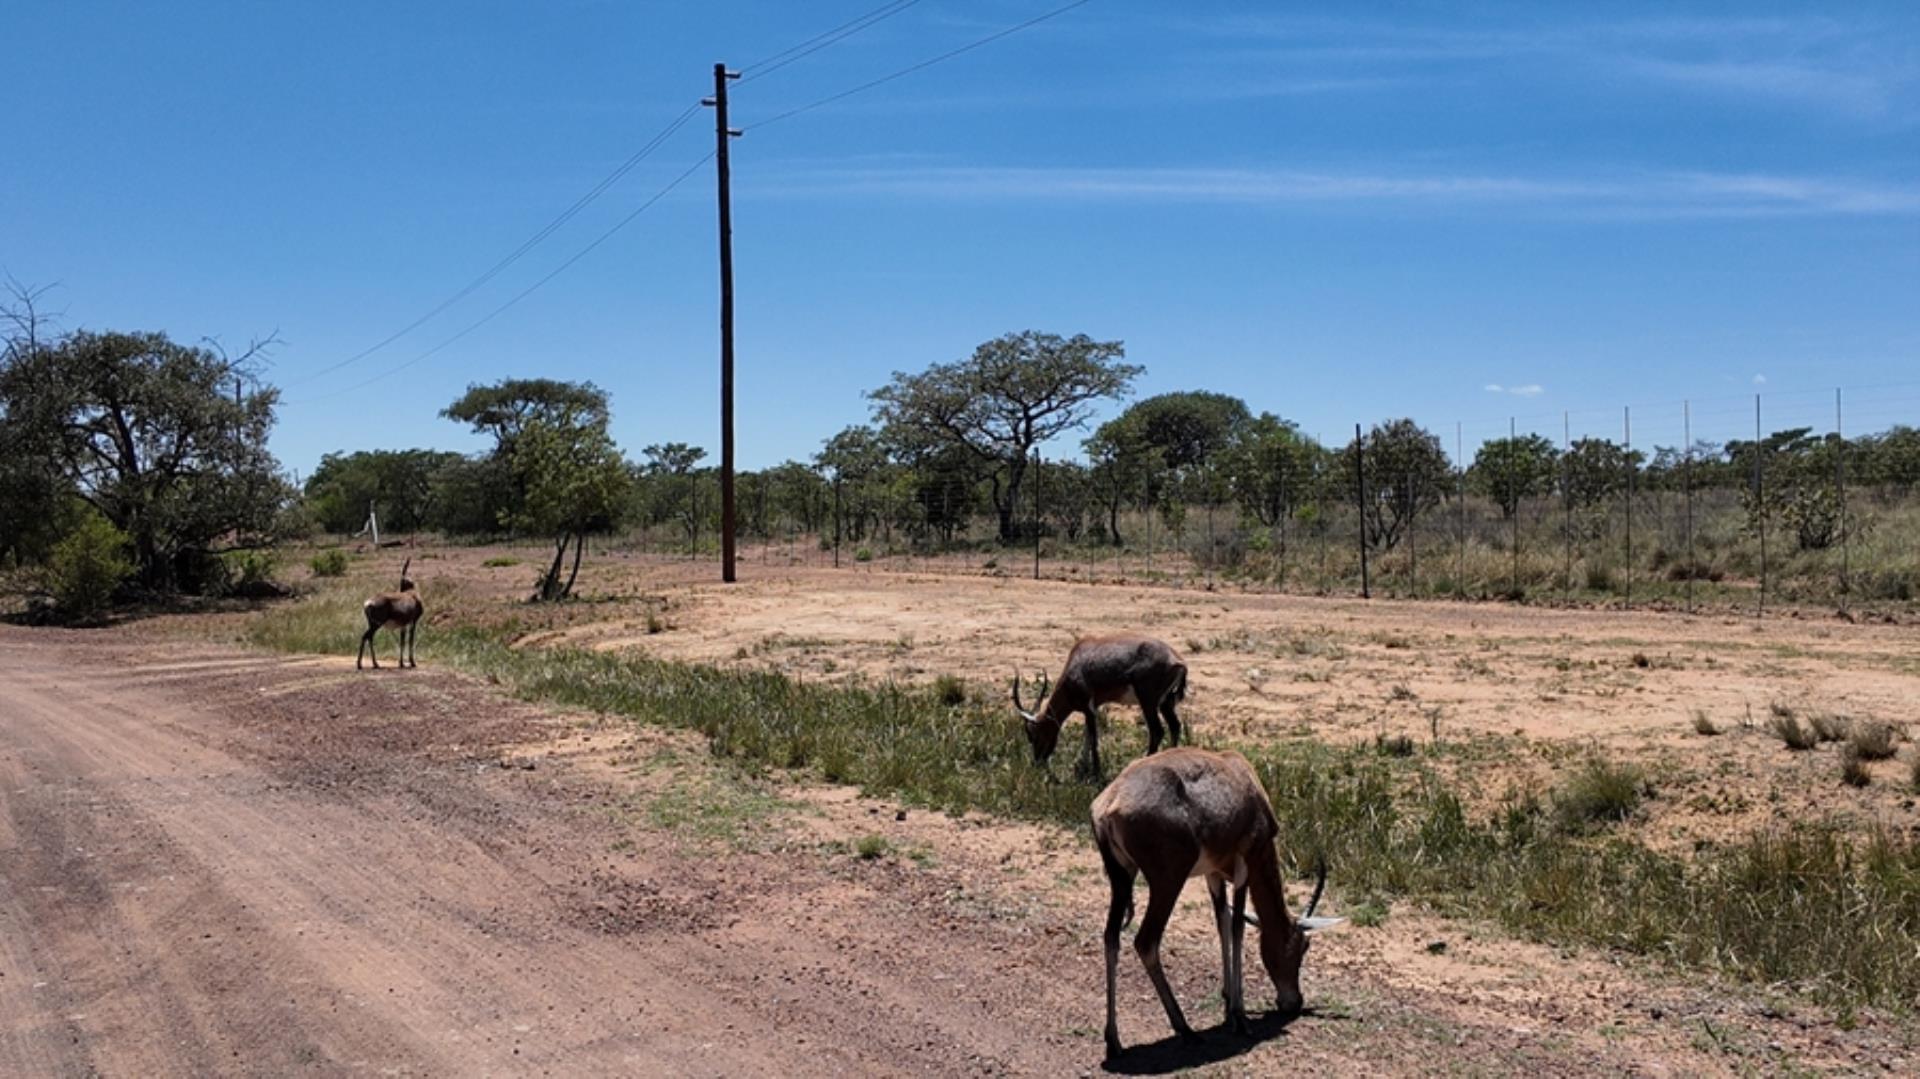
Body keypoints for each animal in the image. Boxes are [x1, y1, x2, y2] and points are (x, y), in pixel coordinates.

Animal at [1006, 629, 1182, 771]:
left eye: (1033, 735)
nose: (1038, 762)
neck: (1077, 660)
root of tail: (1177, 660)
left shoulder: (1088, 709)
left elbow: (1093, 739)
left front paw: (1095, 772)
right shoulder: (1092, 708)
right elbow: (1087, 736)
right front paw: (1082, 766)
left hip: (1148, 703)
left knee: (1157, 731)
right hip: (1166, 703)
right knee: (1175, 726)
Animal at [1090, 744, 1344, 1052]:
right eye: (1303, 946)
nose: (1293, 1002)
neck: (1244, 780)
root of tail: (1111, 802)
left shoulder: (1213, 873)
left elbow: (1222, 920)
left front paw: (1228, 1004)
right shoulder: (1245, 864)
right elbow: (1237, 928)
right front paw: (1240, 1016)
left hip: (1122, 877)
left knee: (1111, 938)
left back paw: (1114, 1040)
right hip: (1167, 882)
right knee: (1146, 942)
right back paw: (1185, 1029)